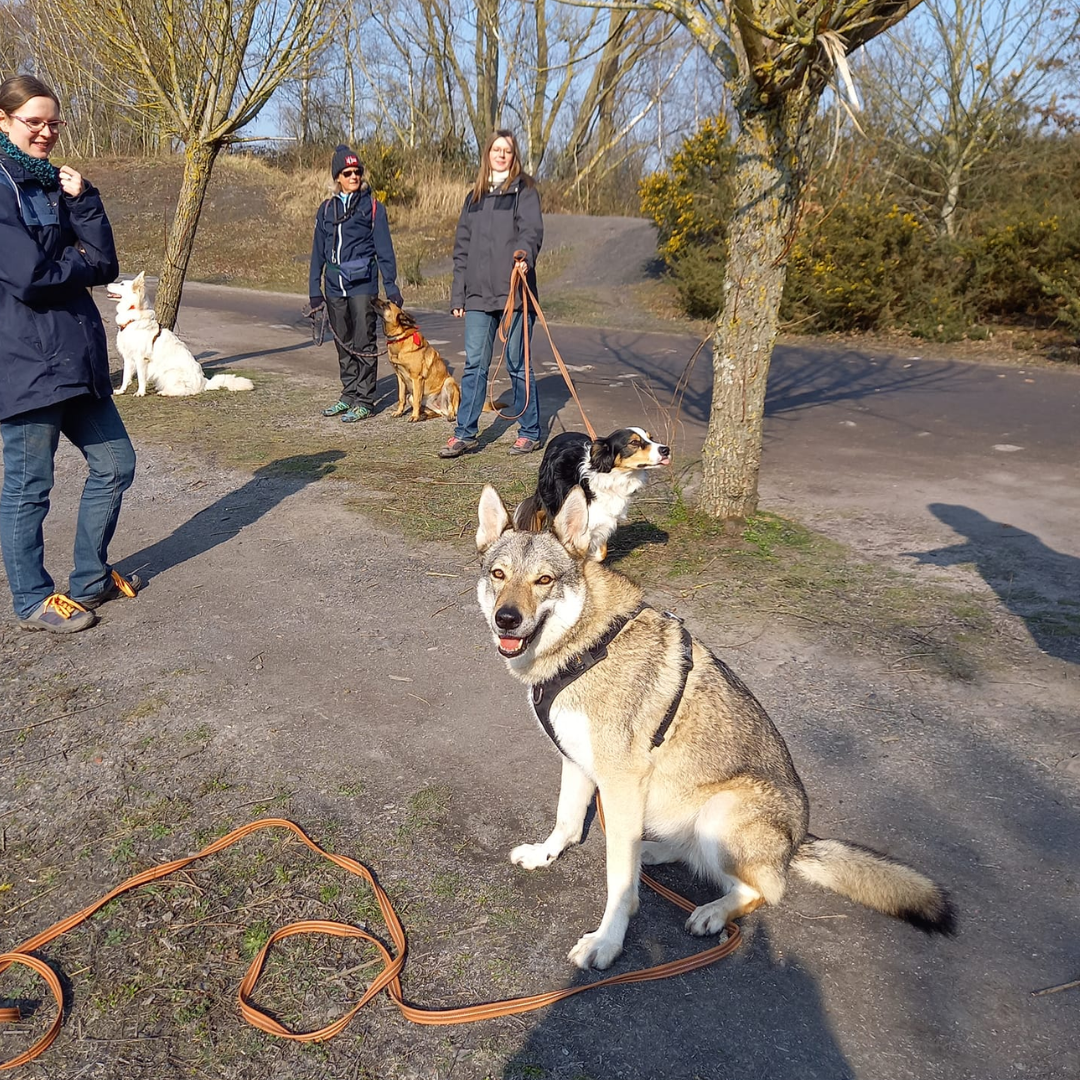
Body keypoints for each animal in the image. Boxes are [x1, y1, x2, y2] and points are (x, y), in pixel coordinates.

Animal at [107, 272, 254, 399]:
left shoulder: (141, 359)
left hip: (170, 372)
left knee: (185, 391)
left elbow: (141, 379)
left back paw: (165, 392)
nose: (106, 284)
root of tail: (204, 382)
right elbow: (125, 377)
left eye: (121, 284)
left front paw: (140, 393)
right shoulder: (128, 357)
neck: (133, 317)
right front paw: (121, 391)